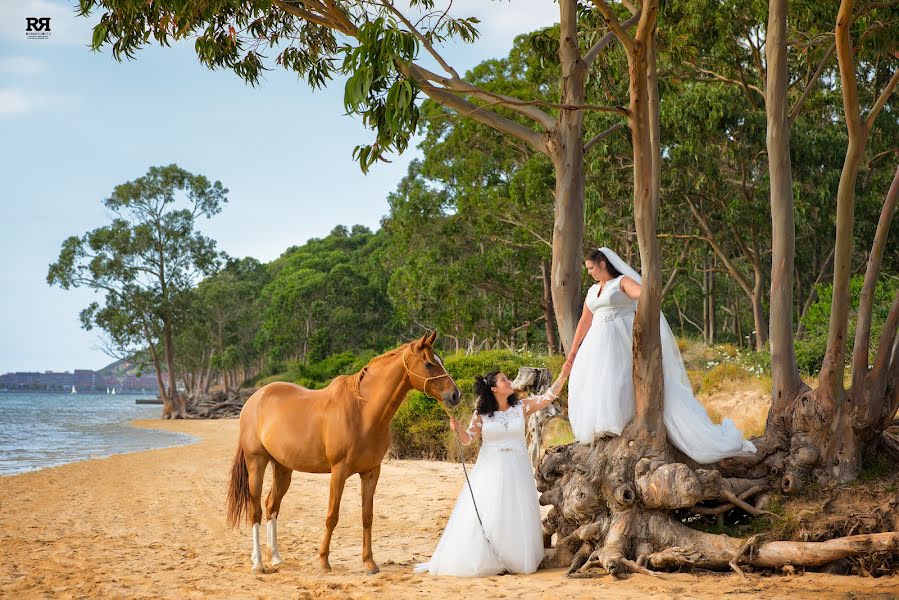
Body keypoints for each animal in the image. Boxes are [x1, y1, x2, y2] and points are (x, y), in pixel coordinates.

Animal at [229, 330, 460, 576]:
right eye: (428, 364)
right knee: (255, 510)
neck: (363, 412)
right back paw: (258, 564)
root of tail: (254, 399)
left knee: (272, 506)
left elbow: (367, 516)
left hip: (283, 468)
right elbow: (332, 515)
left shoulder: (371, 472)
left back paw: (276, 559)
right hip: (257, 463)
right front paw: (323, 562)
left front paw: (369, 563)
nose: (456, 395)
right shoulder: (338, 472)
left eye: (439, 361)